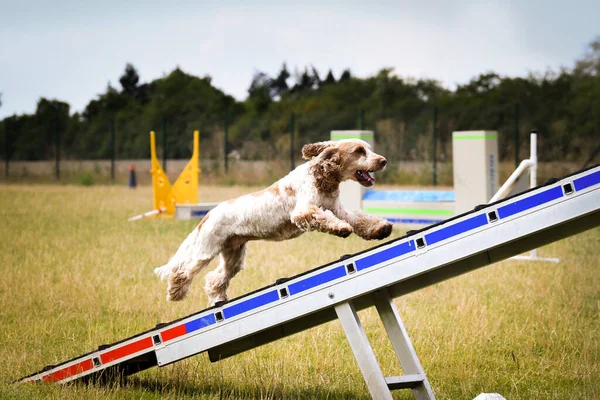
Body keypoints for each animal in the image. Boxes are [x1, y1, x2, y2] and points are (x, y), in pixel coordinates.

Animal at [154, 139, 394, 304]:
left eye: (368, 148)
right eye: (359, 151)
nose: (383, 161)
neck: (322, 177)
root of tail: (209, 213)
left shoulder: (337, 208)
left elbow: (360, 219)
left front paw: (381, 228)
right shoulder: (304, 211)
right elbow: (328, 219)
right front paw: (341, 228)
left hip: (234, 254)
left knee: (216, 278)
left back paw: (219, 300)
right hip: (206, 249)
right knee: (183, 271)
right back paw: (175, 293)